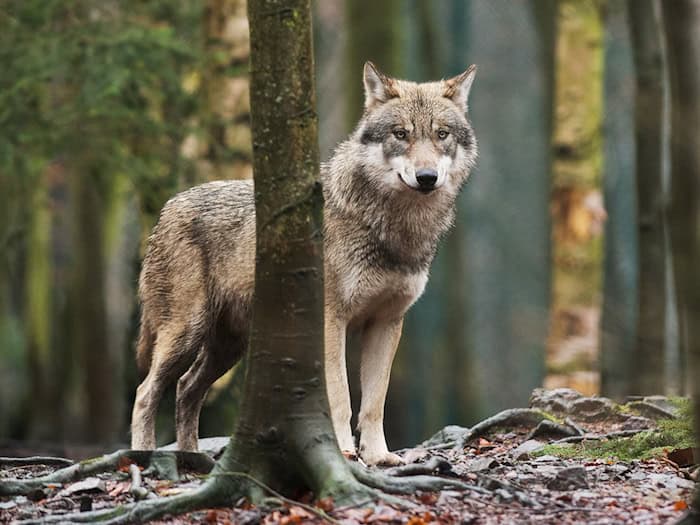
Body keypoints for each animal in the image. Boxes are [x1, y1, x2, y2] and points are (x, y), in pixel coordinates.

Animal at [130, 62, 477, 465]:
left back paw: (193, 459)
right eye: (400, 134)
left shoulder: (387, 323)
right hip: (186, 334)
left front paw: (379, 457)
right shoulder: (331, 320)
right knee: (146, 392)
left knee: (186, 389)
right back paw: (143, 456)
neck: (394, 229)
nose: (426, 177)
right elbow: (341, 397)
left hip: (228, 347)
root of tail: (168, 207)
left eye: (441, 135)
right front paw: (343, 451)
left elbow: (375, 402)